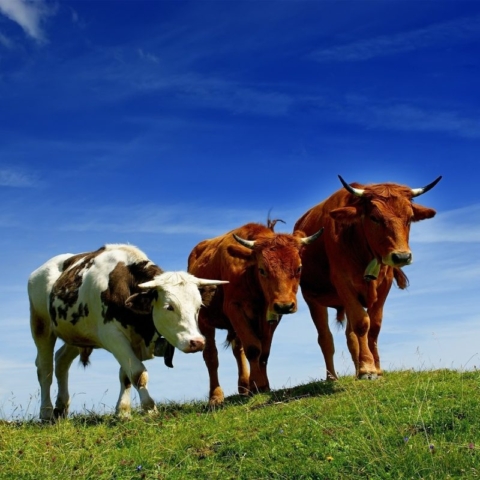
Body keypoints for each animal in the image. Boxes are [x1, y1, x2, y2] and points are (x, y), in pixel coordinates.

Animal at [28, 244, 227, 420]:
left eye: (199, 306)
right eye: (169, 307)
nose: (197, 342)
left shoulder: (133, 341)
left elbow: (126, 375)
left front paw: (123, 412)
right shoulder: (113, 337)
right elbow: (138, 373)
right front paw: (149, 408)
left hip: (76, 334)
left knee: (61, 361)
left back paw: (61, 408)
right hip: (41, 325)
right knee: (45, 369)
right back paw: (46, 412)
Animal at [188, 221, 322, 404]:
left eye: (299, 268)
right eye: (262, 270)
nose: (285, 305)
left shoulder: (271, 315)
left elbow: (263, 352)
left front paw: (261, 385)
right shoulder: (234, 307)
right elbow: (253, 348)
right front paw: (257, 384)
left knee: (238, 351)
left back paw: (244, 387)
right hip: (204, 320)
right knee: (211, 356)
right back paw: (215, 397)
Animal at [296, 174, 442, 380]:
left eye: (409, 218)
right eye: (374, 218)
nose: (402, 257)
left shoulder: (384, 285)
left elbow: (374, 326)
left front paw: (376, 368)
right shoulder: (343, 283)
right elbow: (362, 323)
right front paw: (367, 369)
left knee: (350, 336)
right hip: (313, 299)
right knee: (325, 338)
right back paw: (332, 376)